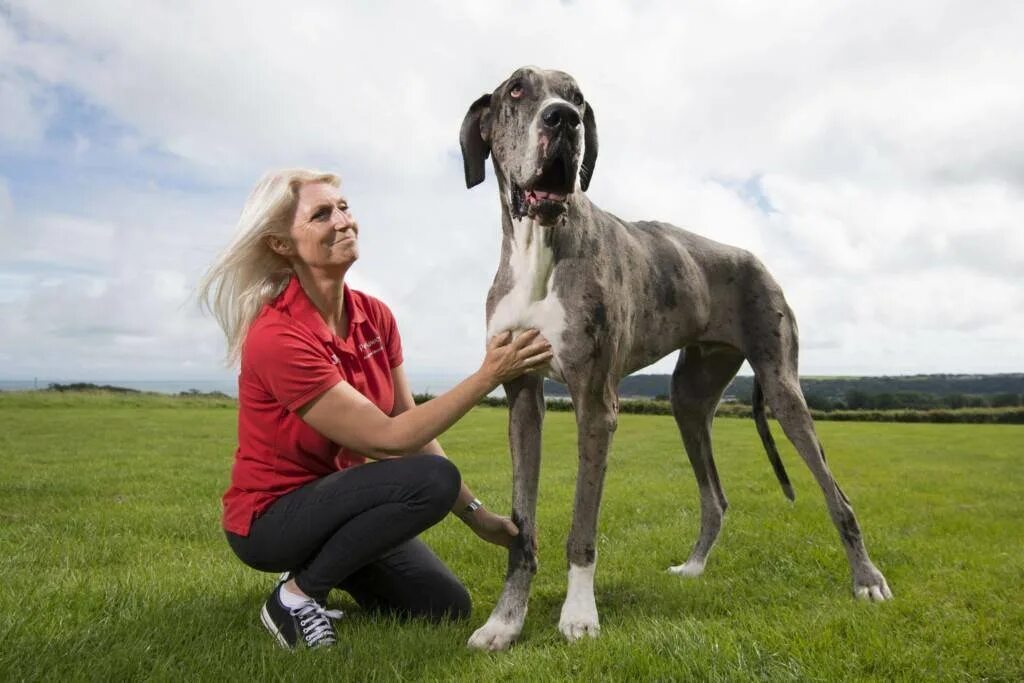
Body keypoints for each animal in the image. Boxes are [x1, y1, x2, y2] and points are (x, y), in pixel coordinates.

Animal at [456, 68, 888, 651]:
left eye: (577, 99)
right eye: (517, 91)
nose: (563, 120)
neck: (537, 248)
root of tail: (754, 258)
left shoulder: (596, 403)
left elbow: (582, 526)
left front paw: (579, 615)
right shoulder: (521, 396)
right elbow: (522, 526)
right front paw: (505, 622)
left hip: (783, 390)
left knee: (837, 496)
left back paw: (866, 580)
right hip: (688, 400)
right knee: (716, 498)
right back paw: (694, 568)